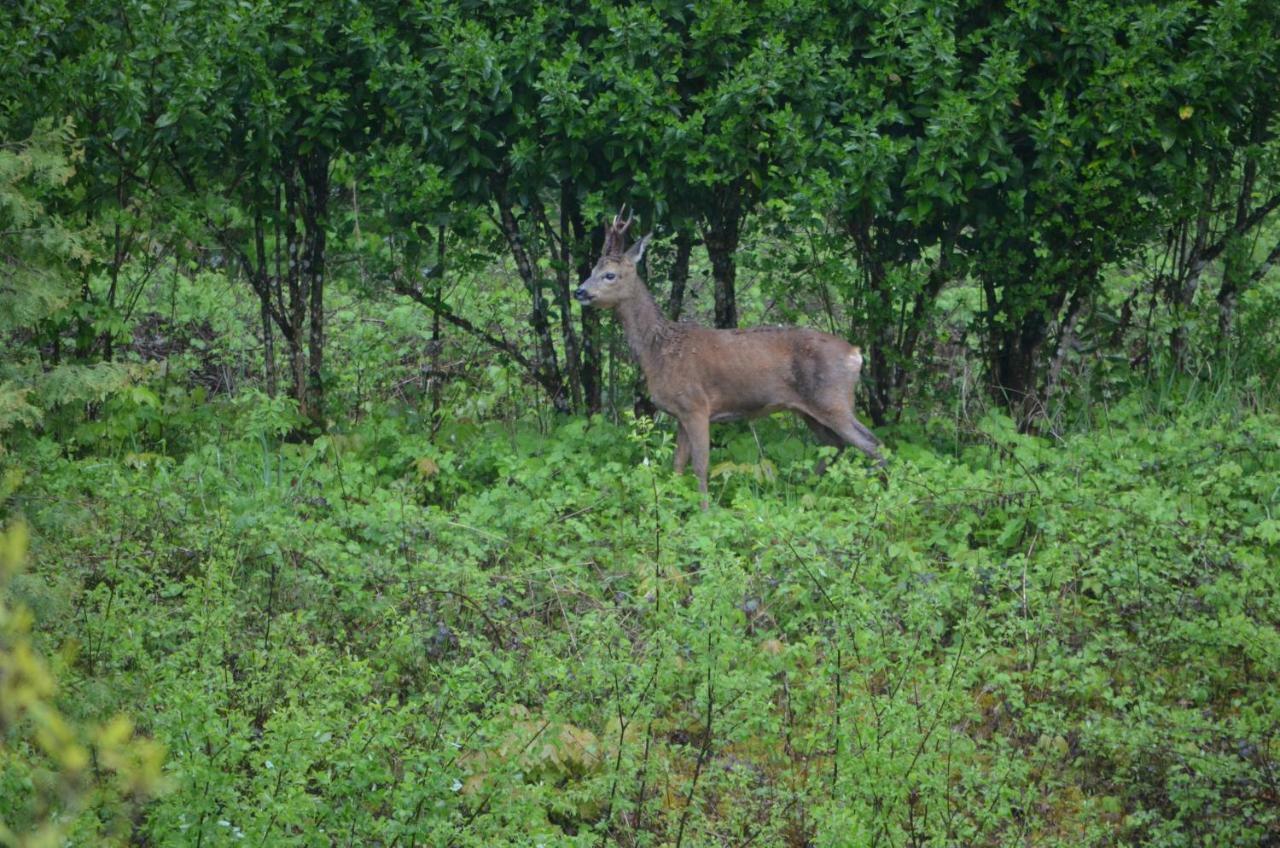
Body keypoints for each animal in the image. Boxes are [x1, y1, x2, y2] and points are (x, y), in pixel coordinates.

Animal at [578, 208, 885, 507]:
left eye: (609, 275)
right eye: (592, 270)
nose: (579, 291)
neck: (658, 351)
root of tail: (855, 354)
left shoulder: (696, 405)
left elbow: (700, 466)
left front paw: (704, 512)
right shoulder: (680, 412)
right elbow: (677, 465)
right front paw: (668, 507)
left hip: (833, 399)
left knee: (872, 443)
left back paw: (878, 496)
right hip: (807, 408)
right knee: (835, 445)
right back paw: (805, 492)